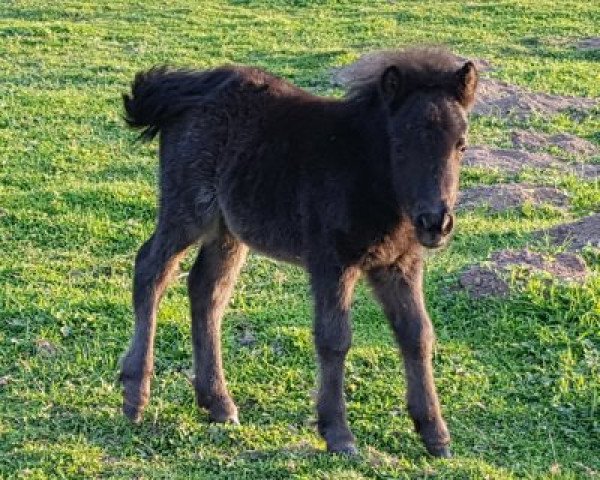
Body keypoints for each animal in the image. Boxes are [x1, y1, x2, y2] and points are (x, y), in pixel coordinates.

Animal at [120, 47, 478, 458]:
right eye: (400, 144)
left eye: (461, 145)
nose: (436, 222)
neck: (365, 172)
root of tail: (186, 87)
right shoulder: (331, 261)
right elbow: (335, 338)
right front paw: (338, 433)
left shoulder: (399, 264)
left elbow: (417, 334)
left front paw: (435, 434)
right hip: (187, 210)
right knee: (151, 269)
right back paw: (135, 395)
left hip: (228, 230)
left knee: (206, 291)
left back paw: (218, 403)